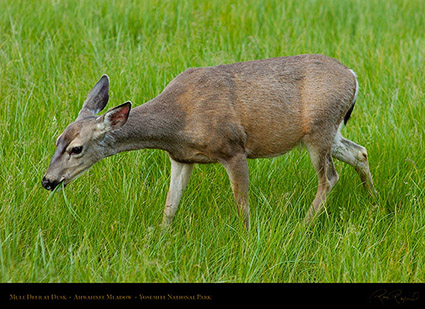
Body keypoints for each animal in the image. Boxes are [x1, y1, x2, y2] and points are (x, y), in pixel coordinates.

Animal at [42, 54, 374, 229]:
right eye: (56, 139)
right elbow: (170, 205)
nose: (47, 181)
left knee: (329, 177)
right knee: (359, 152)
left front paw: (247, 236)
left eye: (76, 148)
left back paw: (303, 224)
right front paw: (159, 235)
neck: (178, 122)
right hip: (330, 132)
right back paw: (373, 203)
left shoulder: (233, 148)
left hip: (319, 129)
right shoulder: (180, 158)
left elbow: (242, 204)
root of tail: (353, 76)